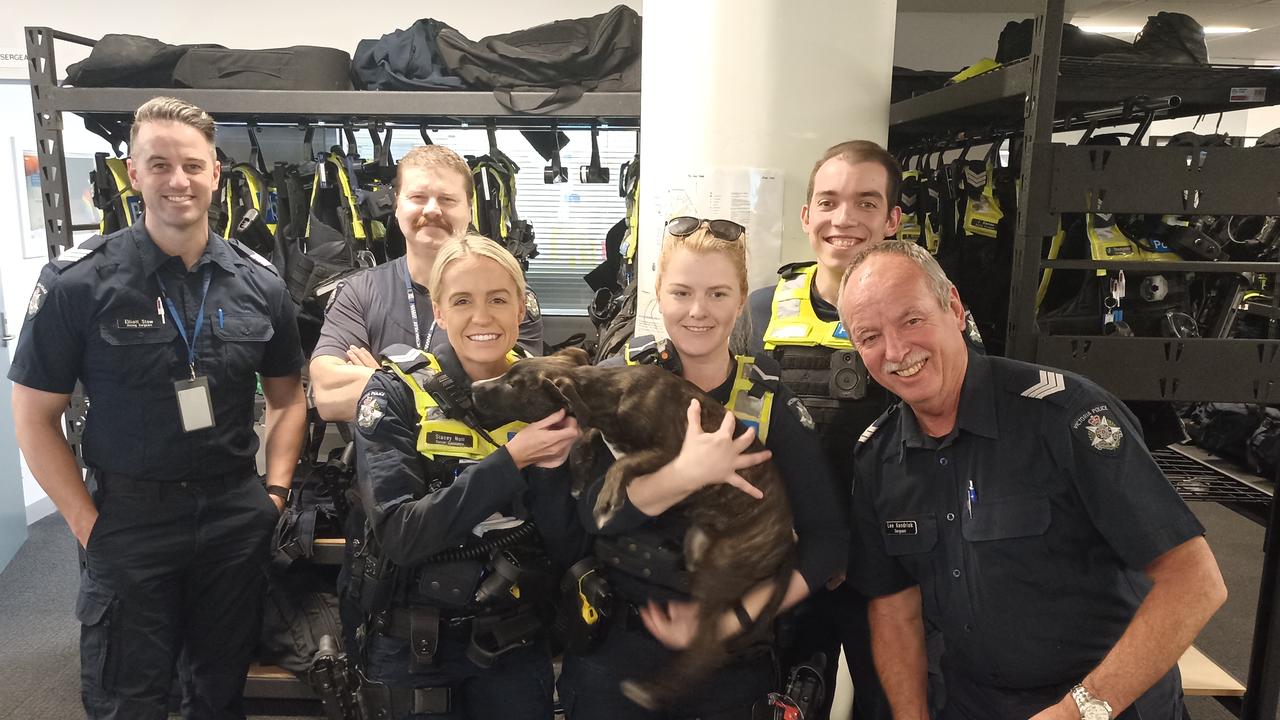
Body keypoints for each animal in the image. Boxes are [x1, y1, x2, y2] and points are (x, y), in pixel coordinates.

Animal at [471, 345, 793, 707]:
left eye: (515, 385)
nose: (474, 388)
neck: (612, 395)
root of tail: (787, 543)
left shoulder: (674, 452)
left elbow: (622, 464)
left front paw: (606, 501)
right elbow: (587, 439)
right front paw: (580, 478)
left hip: (722, 566)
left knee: (707, 650)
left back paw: (652, 690)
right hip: (701, 549)